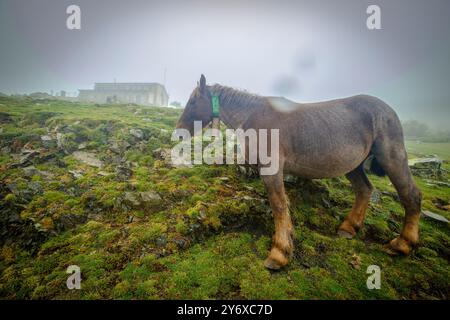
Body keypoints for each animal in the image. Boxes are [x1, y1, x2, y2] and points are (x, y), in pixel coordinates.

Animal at [176, 74, 422, 270]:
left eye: (193, 101)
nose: (179, 132)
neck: (253, 116)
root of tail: (389, 111)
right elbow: (284, 205)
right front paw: (287, 240)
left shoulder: (272, 171)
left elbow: (278, 205)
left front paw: (279, 253)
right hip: (353, 166)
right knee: (364, 190)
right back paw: (349, 228)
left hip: (392, 159)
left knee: (411, 195)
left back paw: (402, 244)